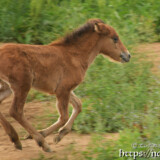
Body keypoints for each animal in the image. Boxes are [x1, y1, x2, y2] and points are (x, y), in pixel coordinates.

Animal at [0, 18, 130, 151]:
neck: (74, 55)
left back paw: (16, 139)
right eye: (115, 38)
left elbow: (78, 105)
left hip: (8, 87)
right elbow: (64, 116)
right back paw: (42, 143)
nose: (128, 55)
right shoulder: (63, 90)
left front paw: (58, 134)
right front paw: (46, 135)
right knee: (16, 111)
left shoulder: (65, 89)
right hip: (23, 85)